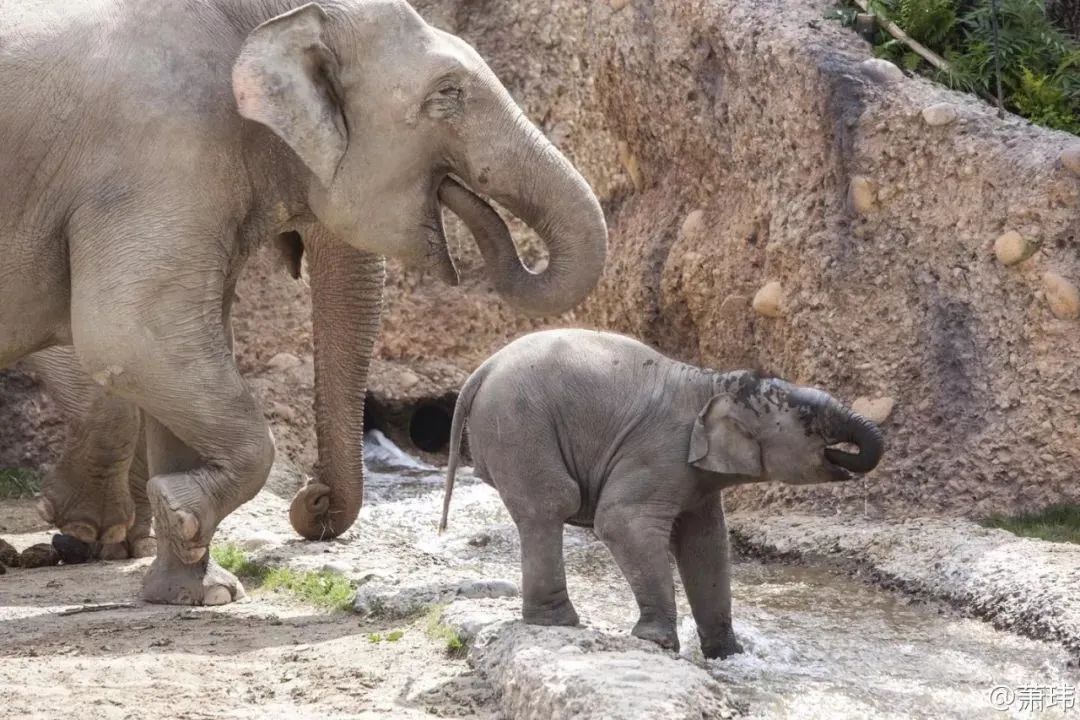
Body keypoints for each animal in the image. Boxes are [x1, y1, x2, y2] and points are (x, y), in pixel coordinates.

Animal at [0, 0, 604, 604]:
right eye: (448, 92)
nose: (313, 499)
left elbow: (179, 347)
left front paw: (199, 593)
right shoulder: (158, 160)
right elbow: (128, 335)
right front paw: (167, 521)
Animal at [440, 330, 885, 660]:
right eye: (810, 420)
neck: (714, 381)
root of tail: (481, 371)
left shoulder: (697, 480)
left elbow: (705, 545)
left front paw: (728, 655)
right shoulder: (661, 450)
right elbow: (620, 521)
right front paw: (657, 643)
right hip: (518, 425)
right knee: (549, 504)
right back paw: (560, 624)